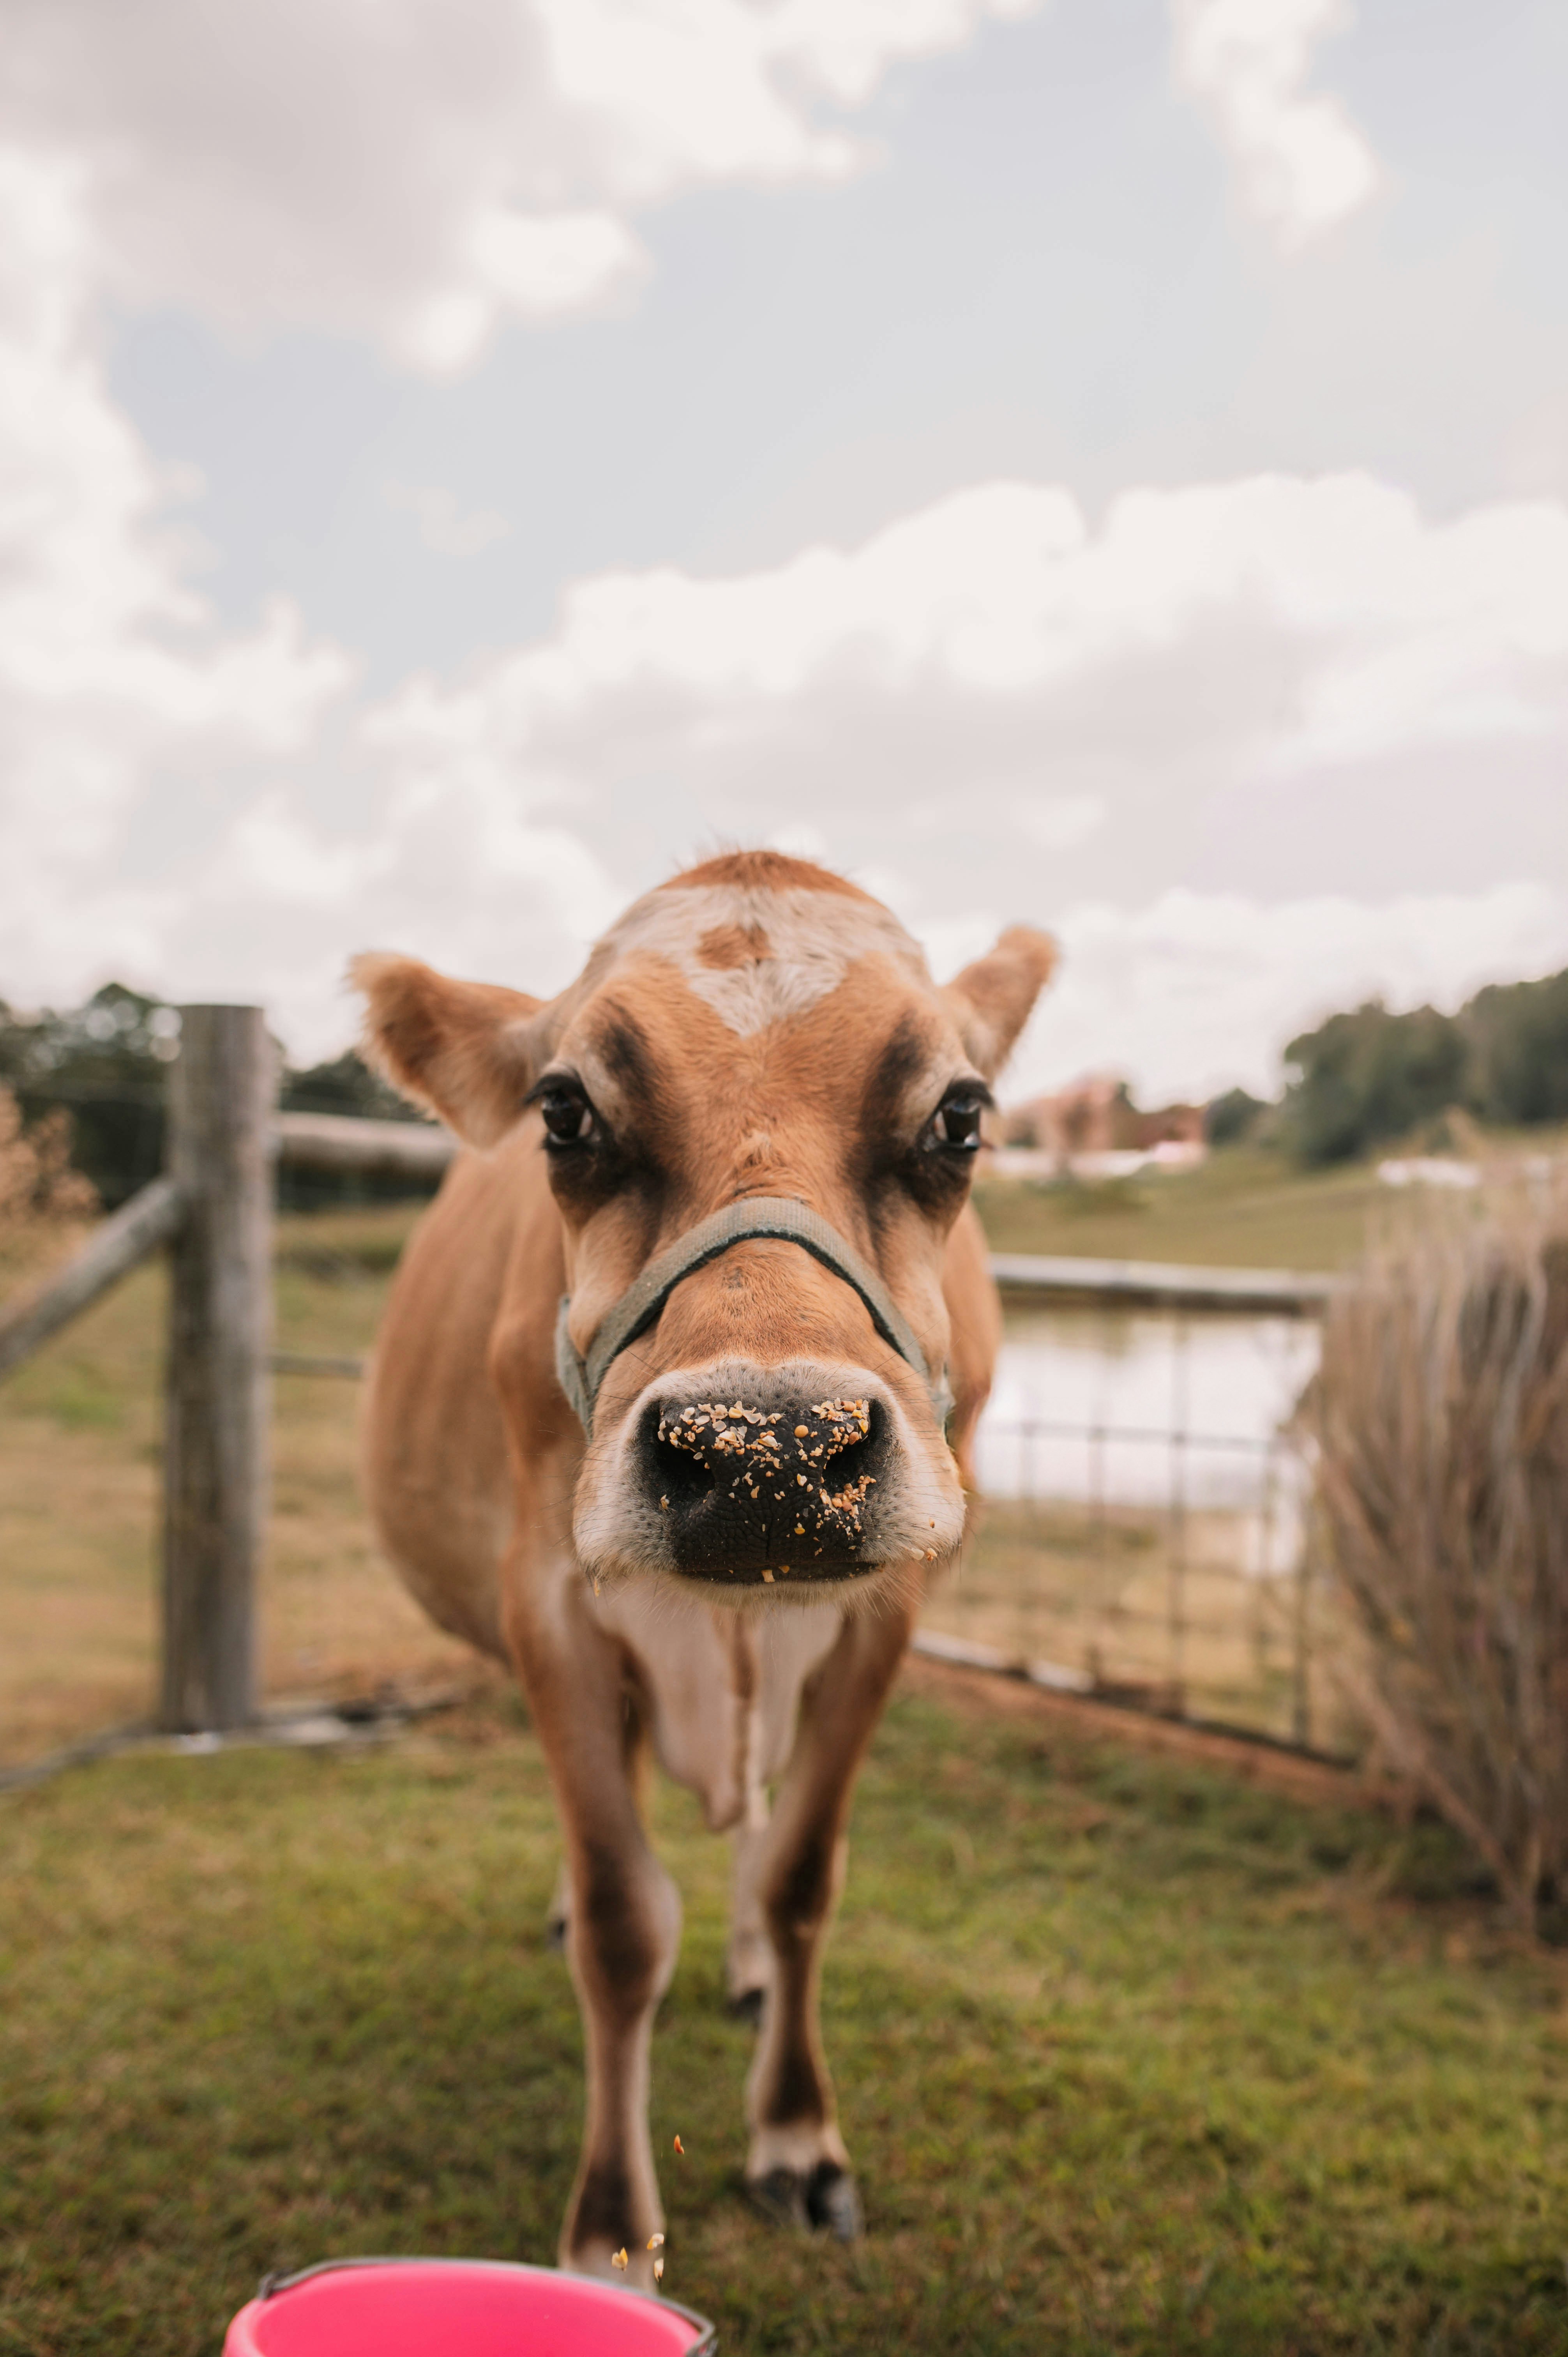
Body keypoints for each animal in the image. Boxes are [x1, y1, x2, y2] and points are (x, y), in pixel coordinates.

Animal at [353, 850, 1055, 2283]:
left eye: (960, 1116)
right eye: (564, 1112)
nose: (768, 1451)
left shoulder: (885, 1610)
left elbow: (800, 1876)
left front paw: (795, 2138)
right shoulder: (551, 1601)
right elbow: (625, 1920)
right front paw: (611, 2233)